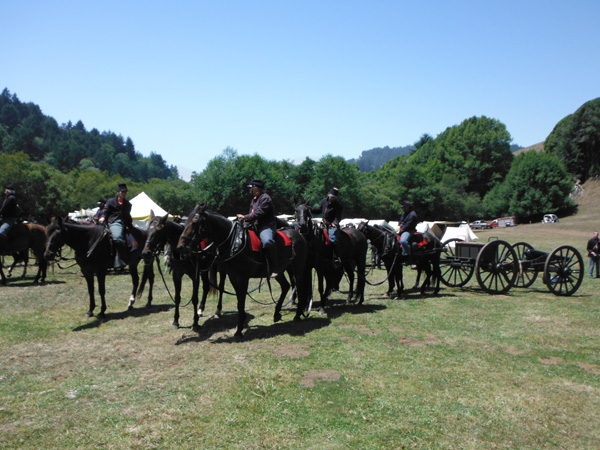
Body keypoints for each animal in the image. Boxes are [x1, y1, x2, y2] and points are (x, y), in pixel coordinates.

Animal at [177, 203, 310, 338]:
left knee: (299, 287)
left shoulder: (243, 278)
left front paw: (239, 329)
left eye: (195, 223)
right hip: (280, 272)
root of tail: (298, 235)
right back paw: (277, 313)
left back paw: (297, 315)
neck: (234, 242)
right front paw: (240, 326)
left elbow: (241, 302)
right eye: (185, 222)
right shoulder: (233, 277)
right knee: (286, 286)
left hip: (298, 269)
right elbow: (239, 302)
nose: (180, 247)